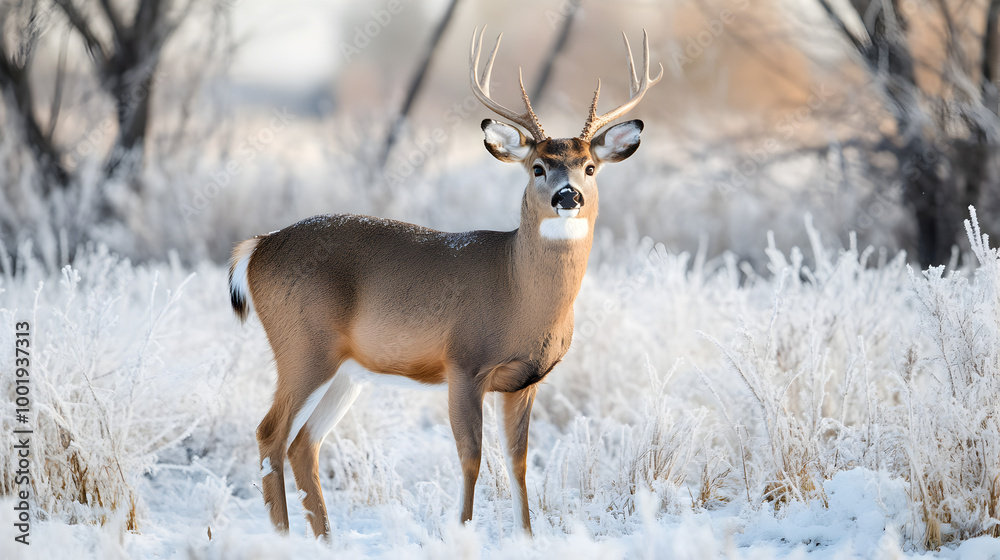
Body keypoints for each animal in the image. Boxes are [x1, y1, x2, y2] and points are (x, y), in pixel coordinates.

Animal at [228, 28, 662, 539]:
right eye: (538, 167)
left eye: (590, 167)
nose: (567, 195)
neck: (519, 291)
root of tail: (257, 247)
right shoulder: (464, 364)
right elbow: (471, 458)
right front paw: (463, 531)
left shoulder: (524, 381)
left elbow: (519, 463)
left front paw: (527, 537)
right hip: (302, 344)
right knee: (270, 433)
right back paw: (284, 537)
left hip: (346, 369)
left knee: (303, 444)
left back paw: (327, 541)